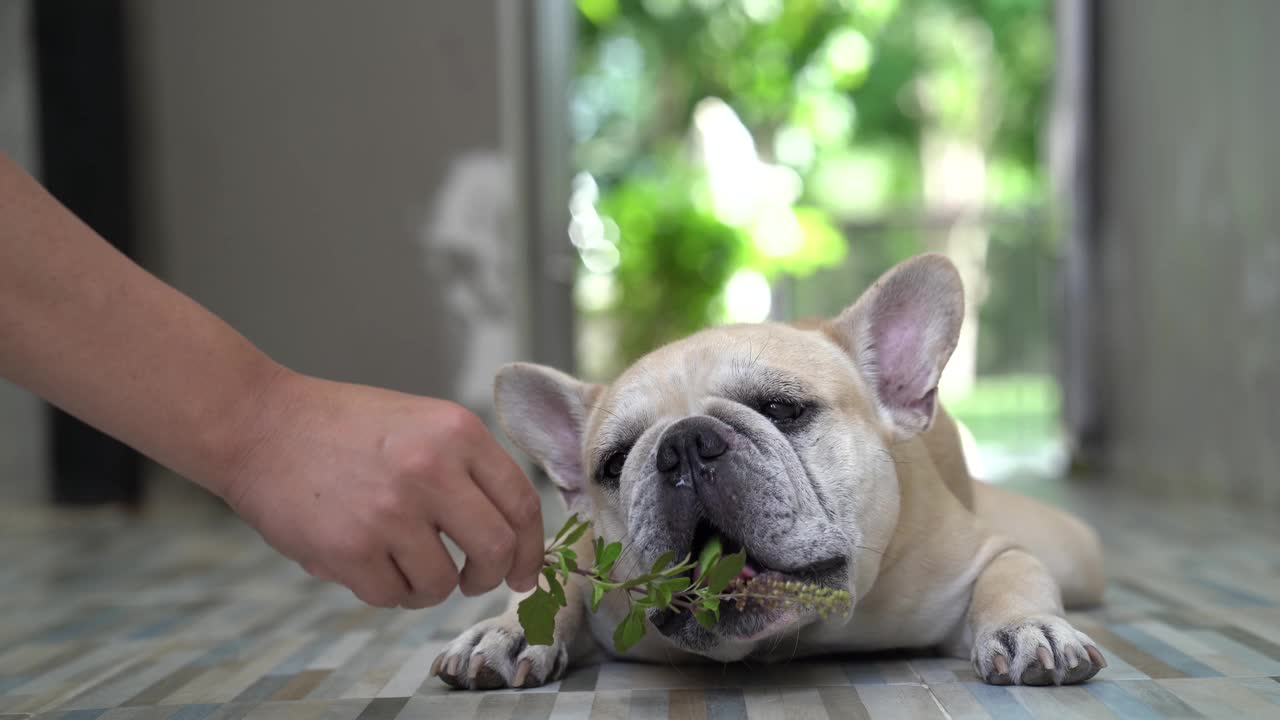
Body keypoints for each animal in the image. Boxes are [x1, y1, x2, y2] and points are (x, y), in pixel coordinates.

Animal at [435, 254, 1105, 686]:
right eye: (615, 462)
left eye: (782, 409)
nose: (682, 444)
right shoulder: (579, 562)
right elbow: (546, 590)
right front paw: (505, 632)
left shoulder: (987, 552)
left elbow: (1012, 576)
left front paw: (1027, 627)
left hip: (1074, 554)